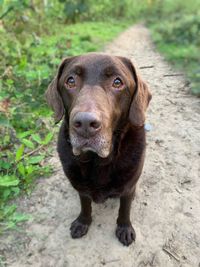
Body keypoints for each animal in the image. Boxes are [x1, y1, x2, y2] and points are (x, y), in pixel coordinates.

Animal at [45, 52, 152, 247]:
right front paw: (83, 222)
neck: (98, 161)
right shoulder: (81, 188)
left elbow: (125, 209)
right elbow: (85, 205)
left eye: (117, 82)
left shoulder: (128, 188)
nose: (85, 124)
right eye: (70, 81)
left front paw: (124, 228)